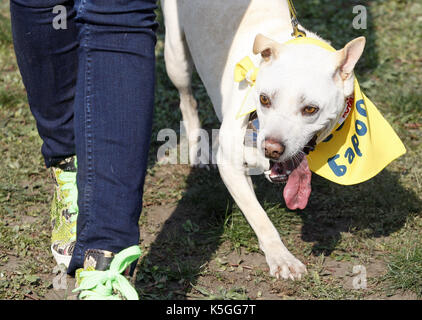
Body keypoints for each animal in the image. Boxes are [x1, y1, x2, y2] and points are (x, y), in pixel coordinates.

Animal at [160, 0, 364, 280]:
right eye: (264, 99)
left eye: (310, 109)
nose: (271, 149)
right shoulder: (230, 165)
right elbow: (259, 217)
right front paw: (281, 257)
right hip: (176, 58)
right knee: (186, 98)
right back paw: (198, 149)